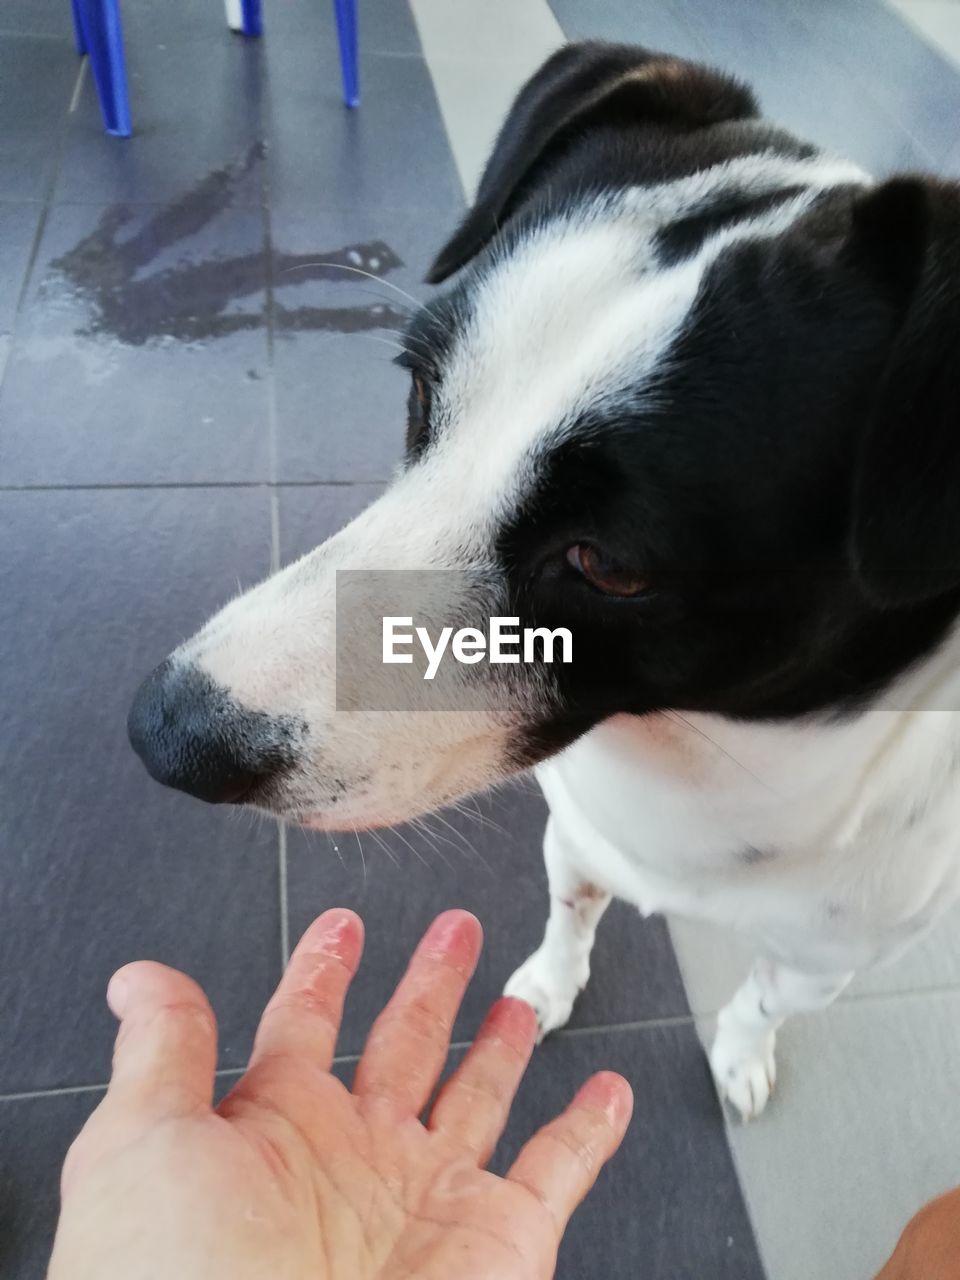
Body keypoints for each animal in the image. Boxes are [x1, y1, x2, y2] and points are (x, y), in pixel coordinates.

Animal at [124, 42, 960, 1121]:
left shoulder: (824, 958)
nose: (165, 733)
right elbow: (570, 915)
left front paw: (738, 1049)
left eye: (606, 562)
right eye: (421, 391)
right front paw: (546, 987)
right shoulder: (579, 840)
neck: (702, 791)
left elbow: (762, 1000)